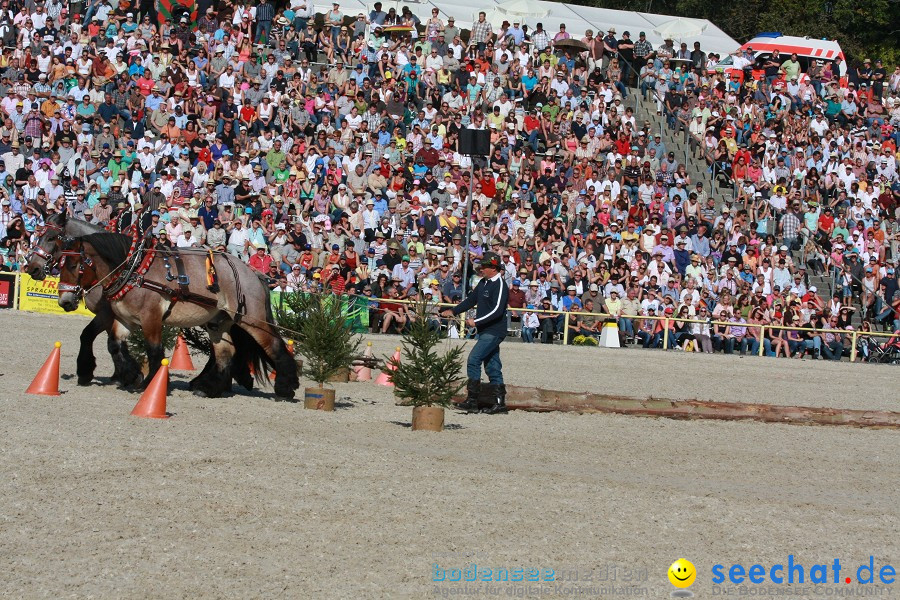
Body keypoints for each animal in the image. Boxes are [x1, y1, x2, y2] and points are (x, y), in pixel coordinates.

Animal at [58, 232, 300, 400]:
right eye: (59, 265)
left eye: (74, 265)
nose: (65, 301)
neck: (133, 272)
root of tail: (253, 274)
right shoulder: (125, 320)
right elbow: (114, 346)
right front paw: (131, 375)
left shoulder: (151, 318)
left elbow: (154, 351)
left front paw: (150, 384)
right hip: (218, 323)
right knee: (225, 353)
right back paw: (208, 388)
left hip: (252, 319)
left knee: (274, 346)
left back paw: (286, 388)